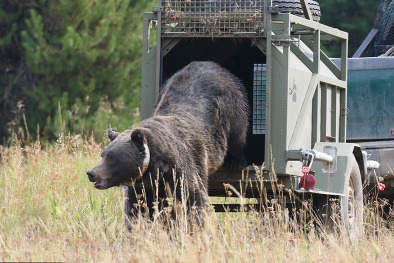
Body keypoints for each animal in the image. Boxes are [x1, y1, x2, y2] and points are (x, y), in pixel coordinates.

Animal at [87, 61, 249, 223]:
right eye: (103, 155)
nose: (91, 172)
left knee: (238, 134)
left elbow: (193, 199)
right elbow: (138, 208)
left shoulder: (182, 169)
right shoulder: (143, 185)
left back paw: (236, 161)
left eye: (112, 157)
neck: (156, 168)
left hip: (231, 106)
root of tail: (211, 64)